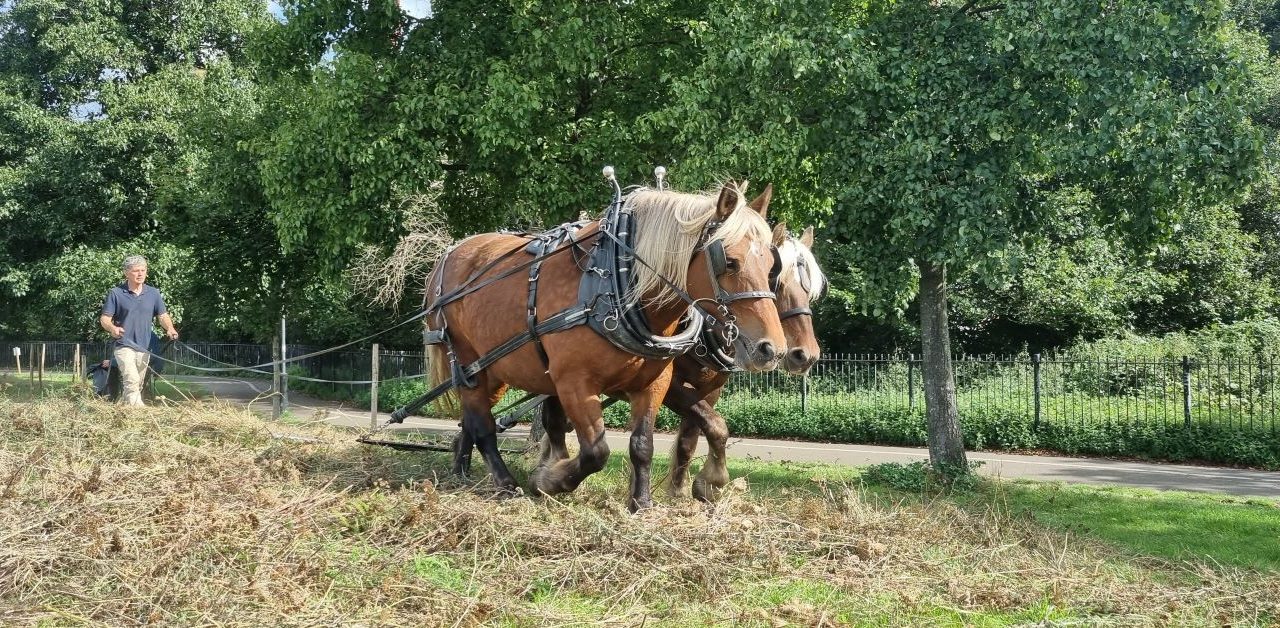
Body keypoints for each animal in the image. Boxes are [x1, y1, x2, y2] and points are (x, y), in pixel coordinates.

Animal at [424, 181, 783, 511]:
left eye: (771, 266)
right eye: (729, 262)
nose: (772, 350)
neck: (615, 285)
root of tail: (447, 257)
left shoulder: (655, 383)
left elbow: (644, 443)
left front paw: (643, 503)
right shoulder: (574, 383)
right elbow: (596, 452)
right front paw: (548, 480)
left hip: (497, 371)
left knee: (474, 421)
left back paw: (463, 471)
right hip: (468, 365)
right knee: (482, 425)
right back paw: (504, 484)